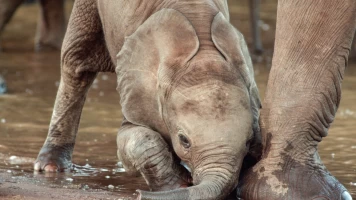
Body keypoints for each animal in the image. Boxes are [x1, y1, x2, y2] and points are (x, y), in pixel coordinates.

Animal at [33, 0, 260, 199]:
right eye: (184, 141)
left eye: (248, 141)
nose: (139, 195)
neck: (205, 51)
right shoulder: (137, 89)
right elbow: (133, 138)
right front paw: (178, 184)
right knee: (76, 61)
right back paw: (51, 167)